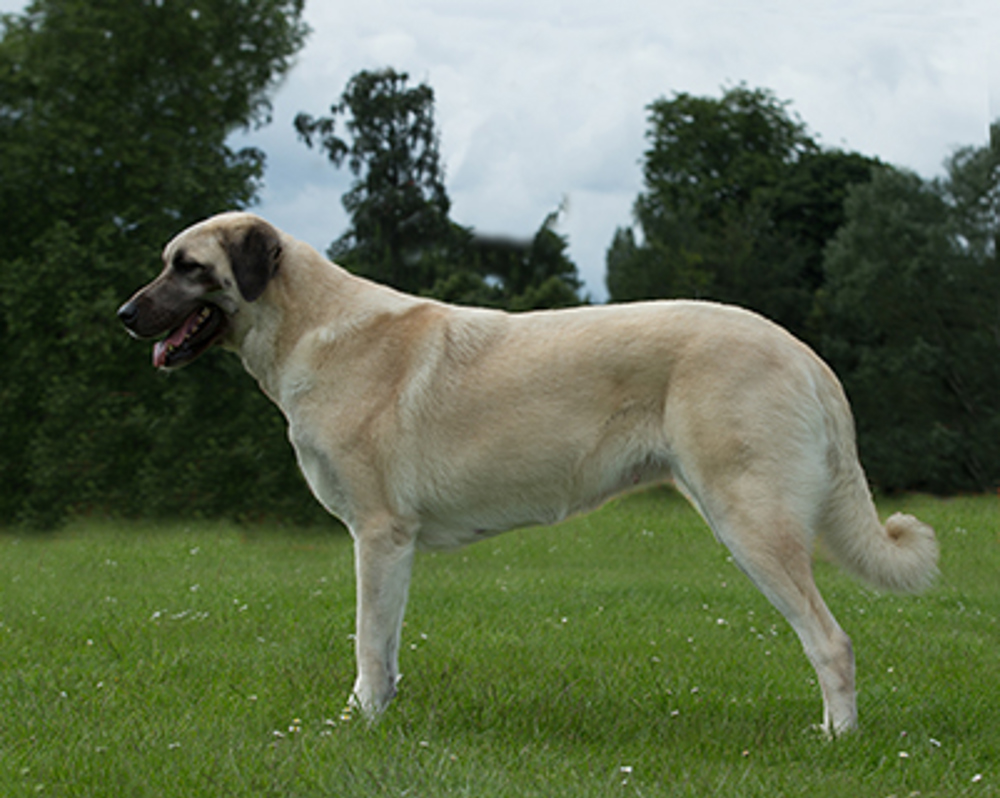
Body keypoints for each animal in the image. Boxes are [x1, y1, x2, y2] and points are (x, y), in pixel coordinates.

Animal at [117, 212, 936, 736]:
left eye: (188, 268)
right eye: (166, 263)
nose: (124, 313)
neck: (308, 327)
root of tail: (800, 350)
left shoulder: (379, 536)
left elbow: (366, 646)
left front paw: (358, 726)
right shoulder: (393, 548)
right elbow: (388, 648)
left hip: (751, 522)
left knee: (831, 642)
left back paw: (836, 740)